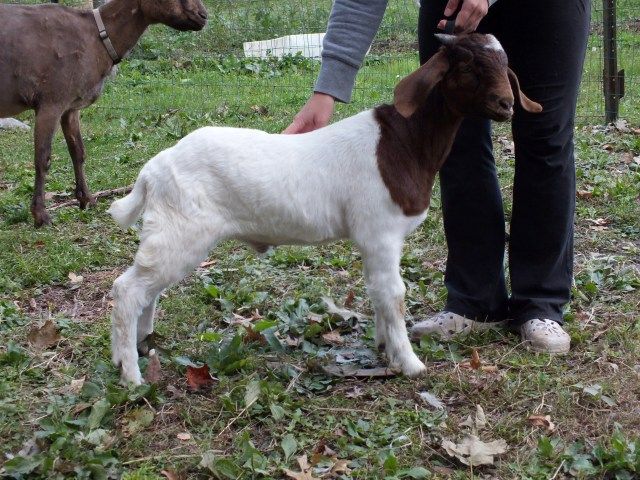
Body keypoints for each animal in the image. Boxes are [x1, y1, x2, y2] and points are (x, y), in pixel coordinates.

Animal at [0, 0, 208, 227]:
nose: (203, 15)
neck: (95, 36)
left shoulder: (71, 107)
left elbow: (78, 152)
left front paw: (87, 200)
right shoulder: (51, 102)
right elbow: (42, 158)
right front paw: (41, 215)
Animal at [109, 33, 542, 385]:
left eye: (505, 64)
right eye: (469, 66)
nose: (506, 105)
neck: (403, 143)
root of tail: (153, 169)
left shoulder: (374, 241)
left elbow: (378, 293)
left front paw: (385, 348)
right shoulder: (380, 233)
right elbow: (394, 295)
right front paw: (410, 364)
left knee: (148, 290)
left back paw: (139, 348)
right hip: (181, 230)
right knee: (128, 289)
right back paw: (131, 375)